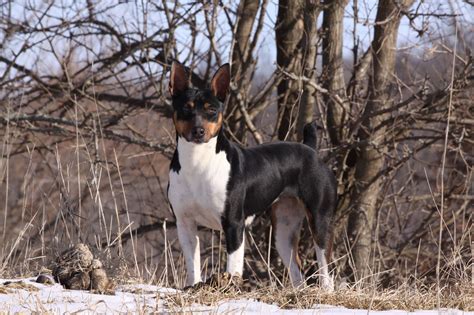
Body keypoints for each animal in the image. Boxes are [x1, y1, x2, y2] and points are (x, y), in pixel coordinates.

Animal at [167, 62, 336, 292]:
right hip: (283, 230)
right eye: (186, 107)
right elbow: (193, 265)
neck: (197, 163)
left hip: (320, 221)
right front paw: (193, 287)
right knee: (297, 271)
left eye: (212, 110)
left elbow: (233, 266)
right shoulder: (185, 223)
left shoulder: (234, 224)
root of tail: (311, 149)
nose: (198, 131)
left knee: (326, 268)